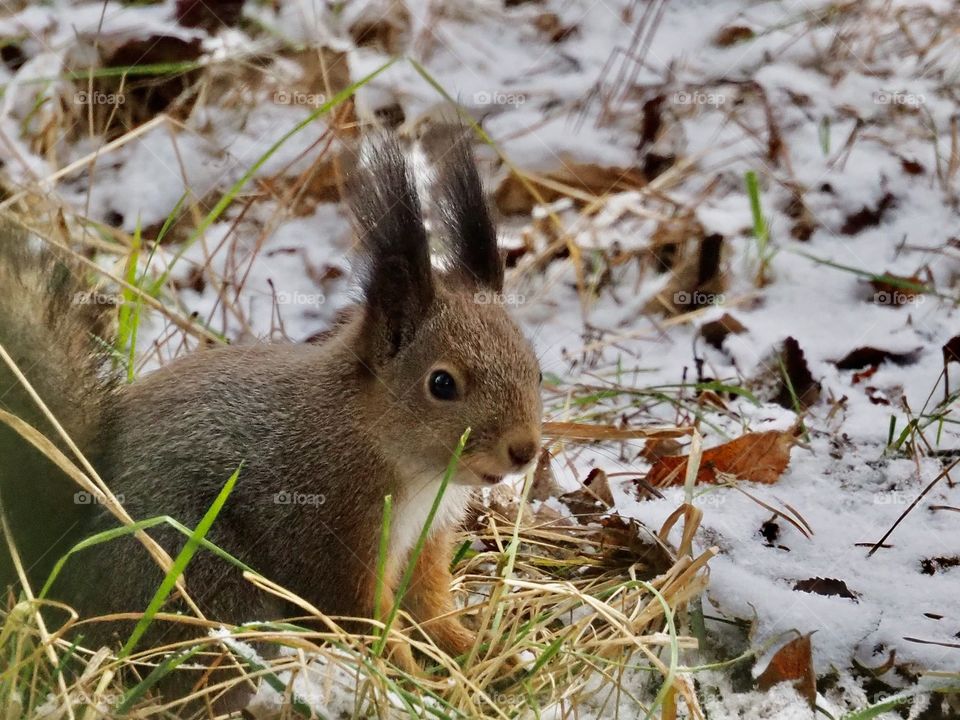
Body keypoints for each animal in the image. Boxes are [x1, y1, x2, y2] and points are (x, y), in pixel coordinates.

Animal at [0, 136, 543, 701]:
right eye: (442, 384)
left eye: (537, 371)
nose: (525, 450)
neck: (406, 465)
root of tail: (60, 566)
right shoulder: (328, 533)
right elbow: (361, 620)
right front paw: (414, 685)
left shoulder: (426, 541)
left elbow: (429, 609)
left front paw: (480, 653)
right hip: (198, 573)